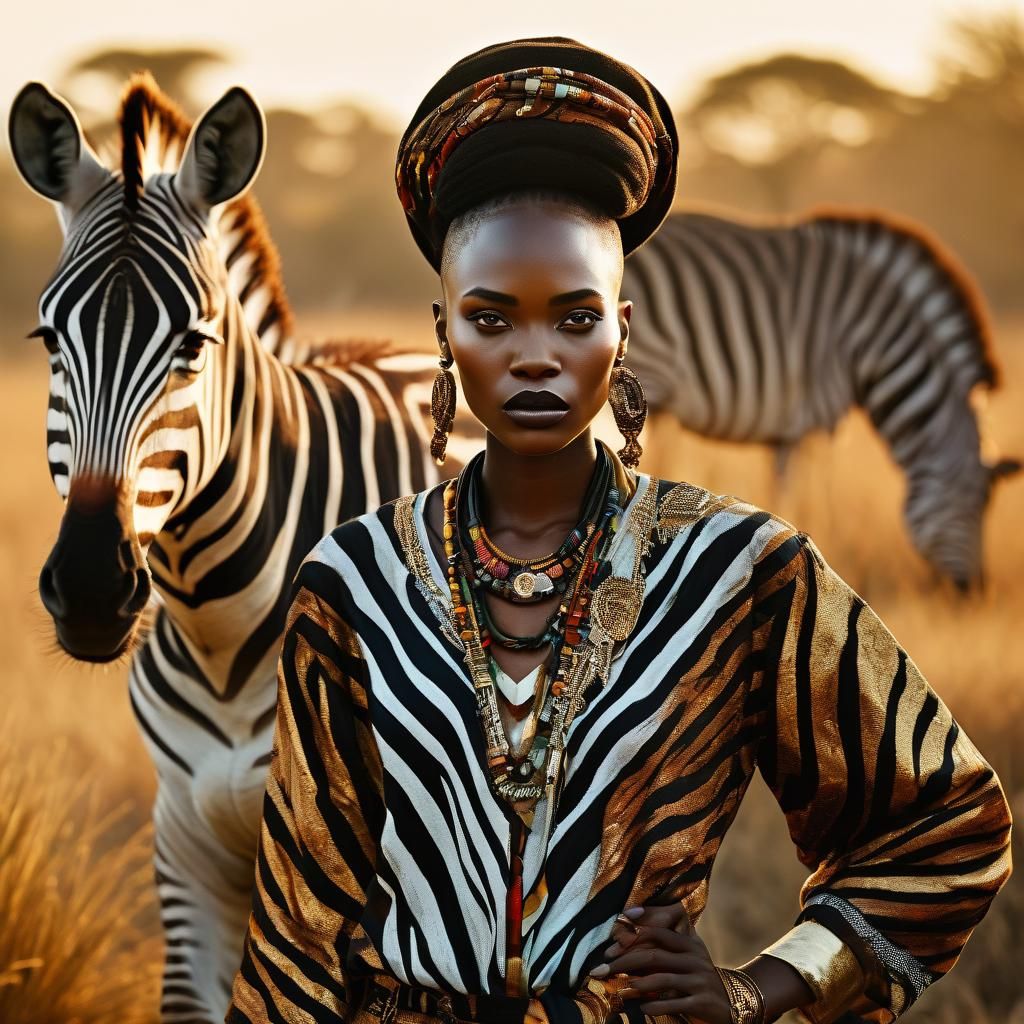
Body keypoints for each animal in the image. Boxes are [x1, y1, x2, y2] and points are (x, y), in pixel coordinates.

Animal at [623, 209, 1021, 589]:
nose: (975, 590)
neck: (874, 336)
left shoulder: (788, 431)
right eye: (980, 506)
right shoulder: (820, 417)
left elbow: (783, 492)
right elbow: (819, 499)